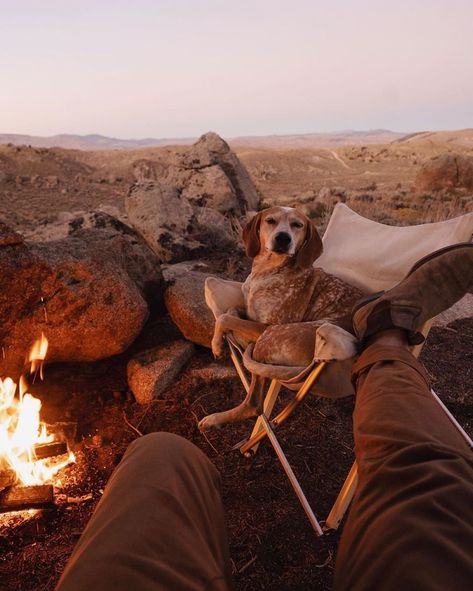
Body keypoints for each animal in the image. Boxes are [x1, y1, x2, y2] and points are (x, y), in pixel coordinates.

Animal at [197, 207, 364, 430]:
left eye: (297, 225)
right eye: (270, 221)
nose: (283, 238)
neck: (267, 271)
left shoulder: (264, 326)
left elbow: (225, 318)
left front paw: (216, 345)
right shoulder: (249, 311)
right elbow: (231, 311)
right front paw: (221, 337)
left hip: (268, 338)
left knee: (254, 404)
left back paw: (216, 418)